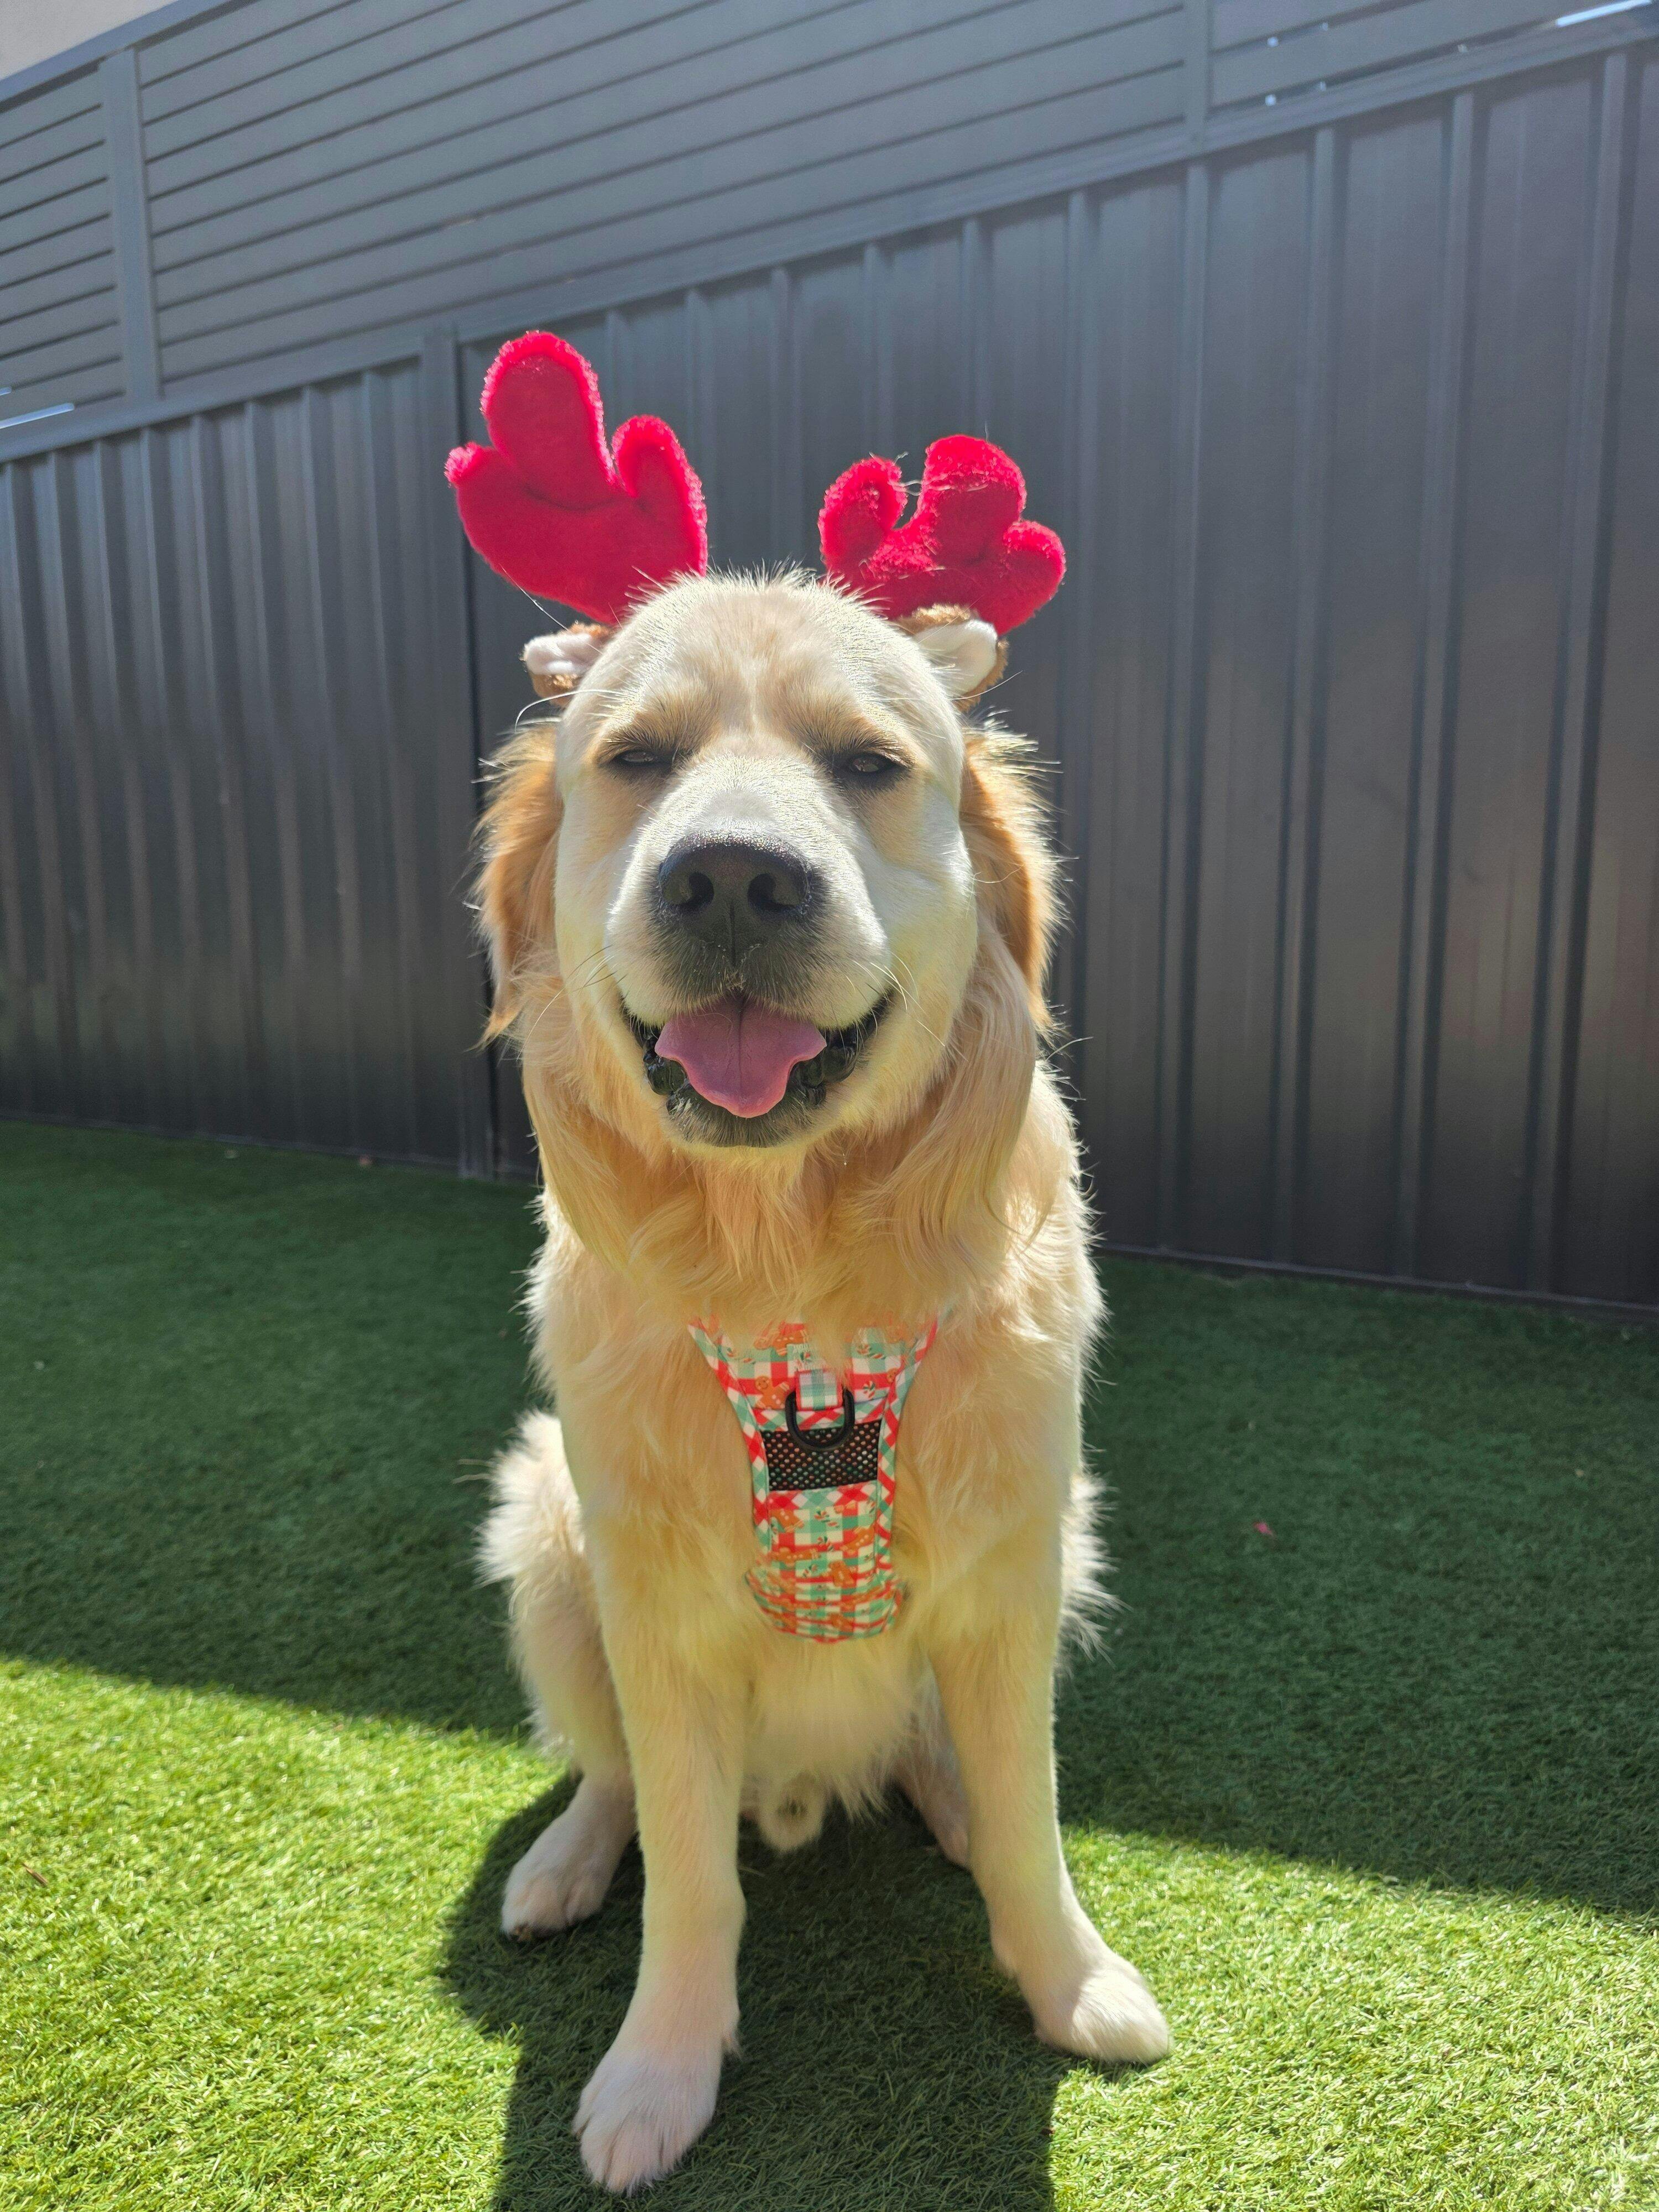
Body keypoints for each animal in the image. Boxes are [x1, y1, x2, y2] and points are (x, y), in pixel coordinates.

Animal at [473, 570, 1170, 2192]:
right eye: (638, 758)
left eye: (868, 763)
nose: (733, 879)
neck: (790, 1280)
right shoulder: (653, 1607)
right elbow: (688, 1873)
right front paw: (658, 2070)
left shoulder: (1010, 1574)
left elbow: (1036, 1820)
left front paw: (1072, 1982)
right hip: (544, 1535)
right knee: (617, 1780)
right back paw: (561, 1866)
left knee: (954, 1760)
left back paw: (952, 1805)